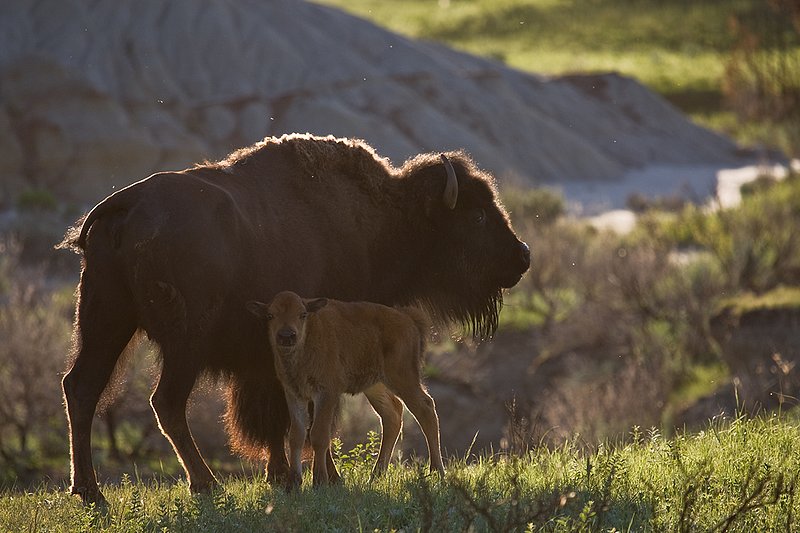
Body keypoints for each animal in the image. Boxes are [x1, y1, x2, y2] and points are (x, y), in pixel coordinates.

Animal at [247, 291, 444, 488]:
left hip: (402, 378)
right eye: (270, 315)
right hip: (375, 386)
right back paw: (375, 476)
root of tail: (407, 318)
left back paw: (437, 472)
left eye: (302, 314)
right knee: (392, 415)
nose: (287, 336)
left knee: (425, 408)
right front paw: (293, 483)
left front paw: (319, 480)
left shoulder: (326, 393)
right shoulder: (294, 394)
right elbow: (297, 435)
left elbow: (318, 434)